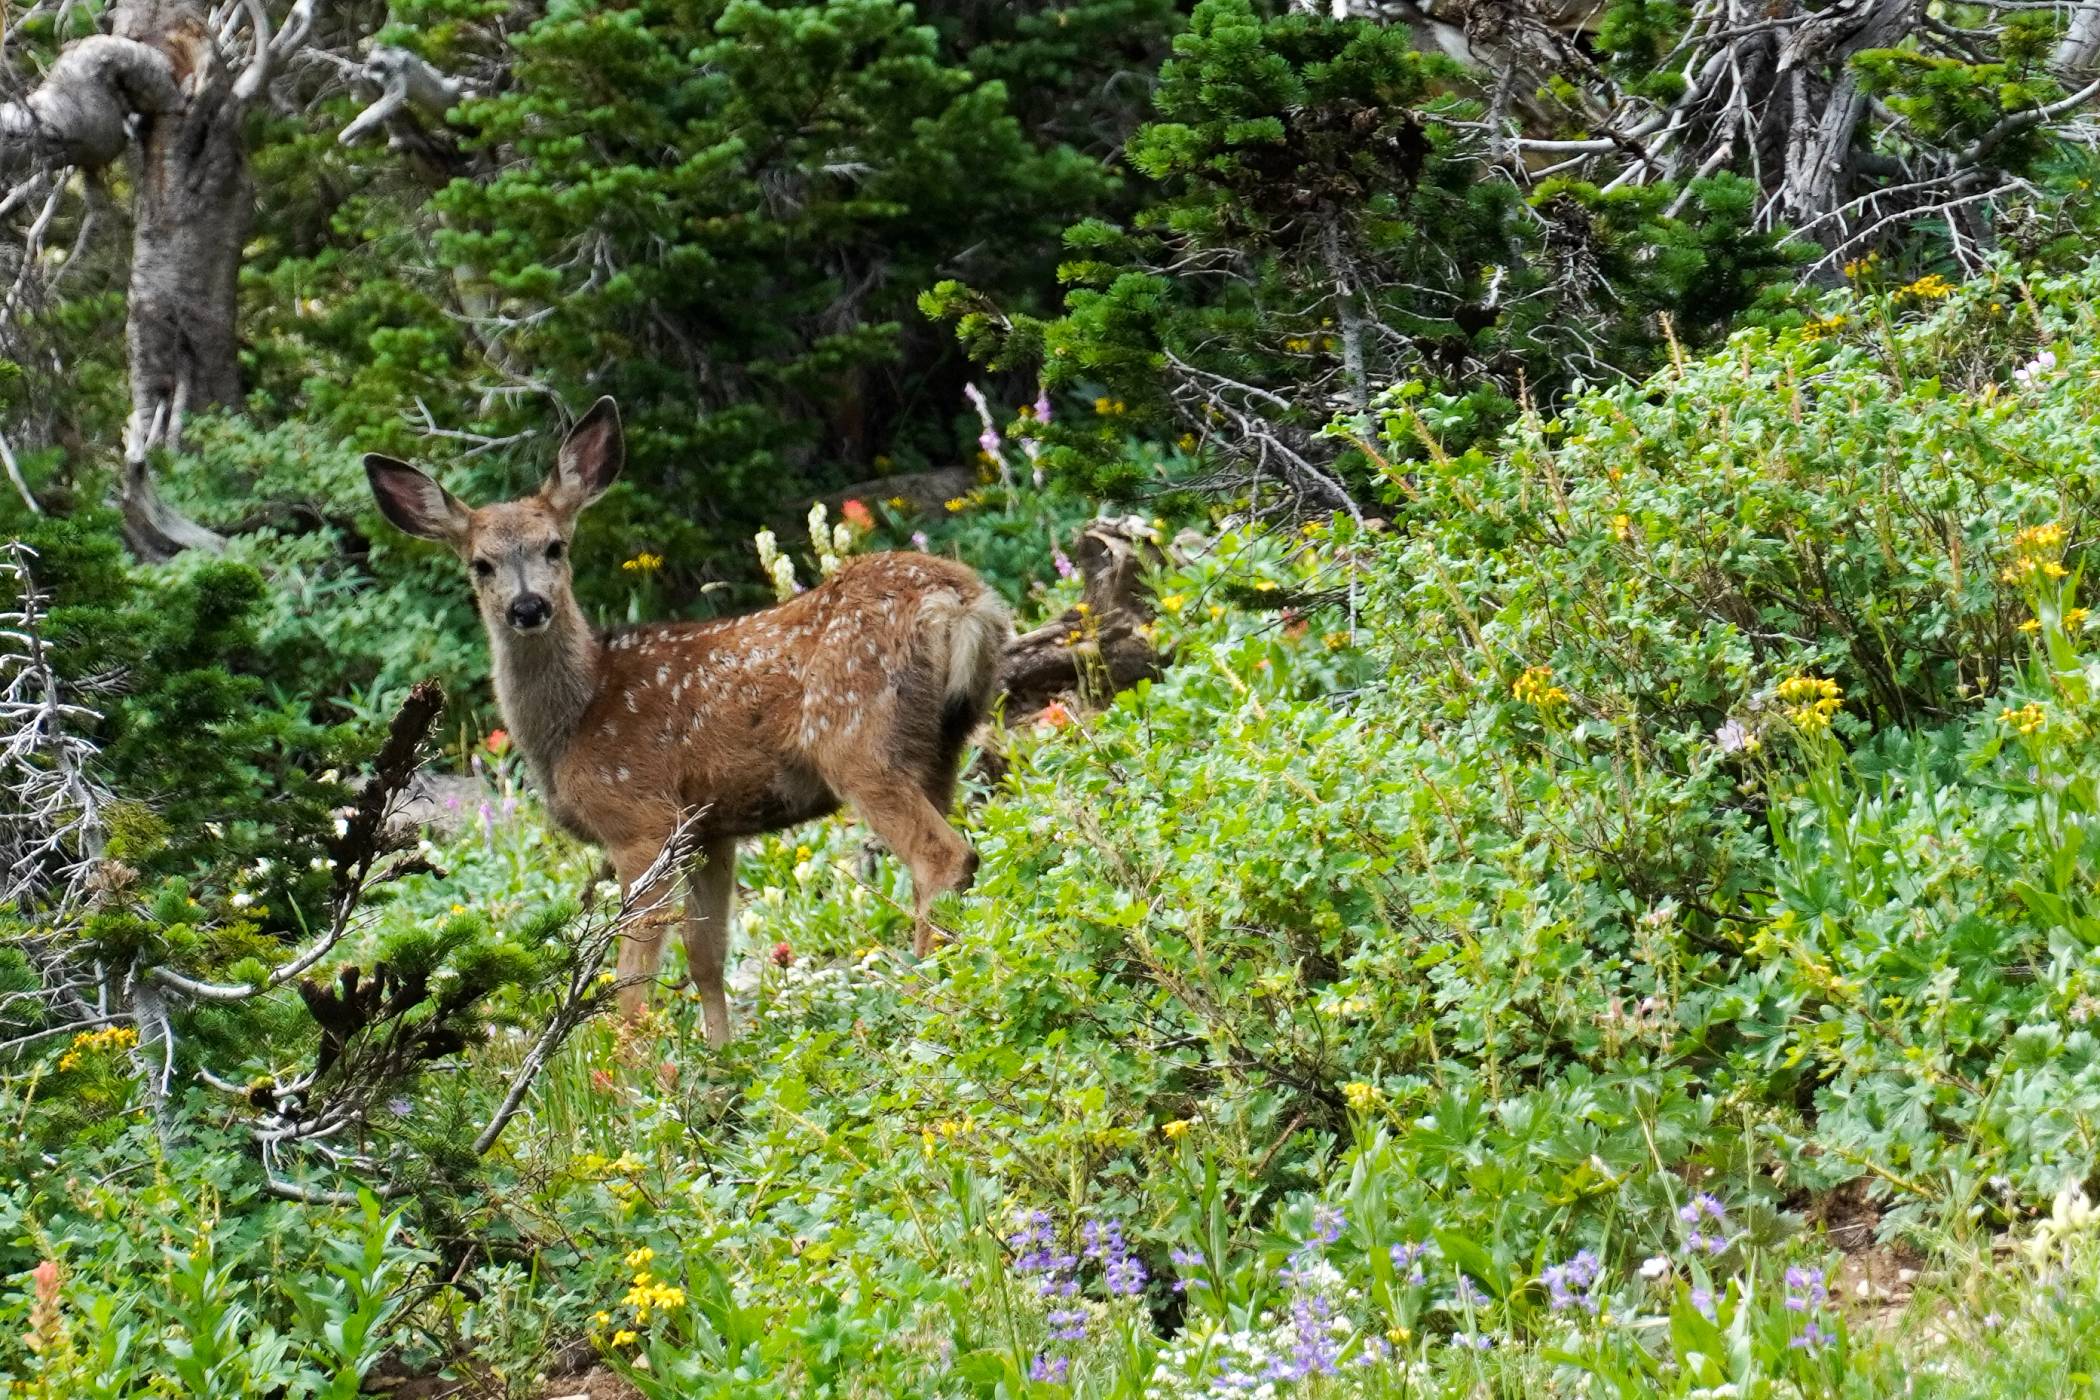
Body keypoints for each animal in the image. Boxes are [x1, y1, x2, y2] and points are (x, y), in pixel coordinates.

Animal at [365, 398, 1012, 1045]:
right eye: (481, 563)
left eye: (554, 547)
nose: (529, 607)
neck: (575, 719)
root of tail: (961, 602)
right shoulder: (709, 830)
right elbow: (706, 955)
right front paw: (722, 1056)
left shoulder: (641, 819)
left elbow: (632, 979)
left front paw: (628, 1065)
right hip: (942, 741)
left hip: (856, 741)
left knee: (943, 857)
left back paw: (924, 997)